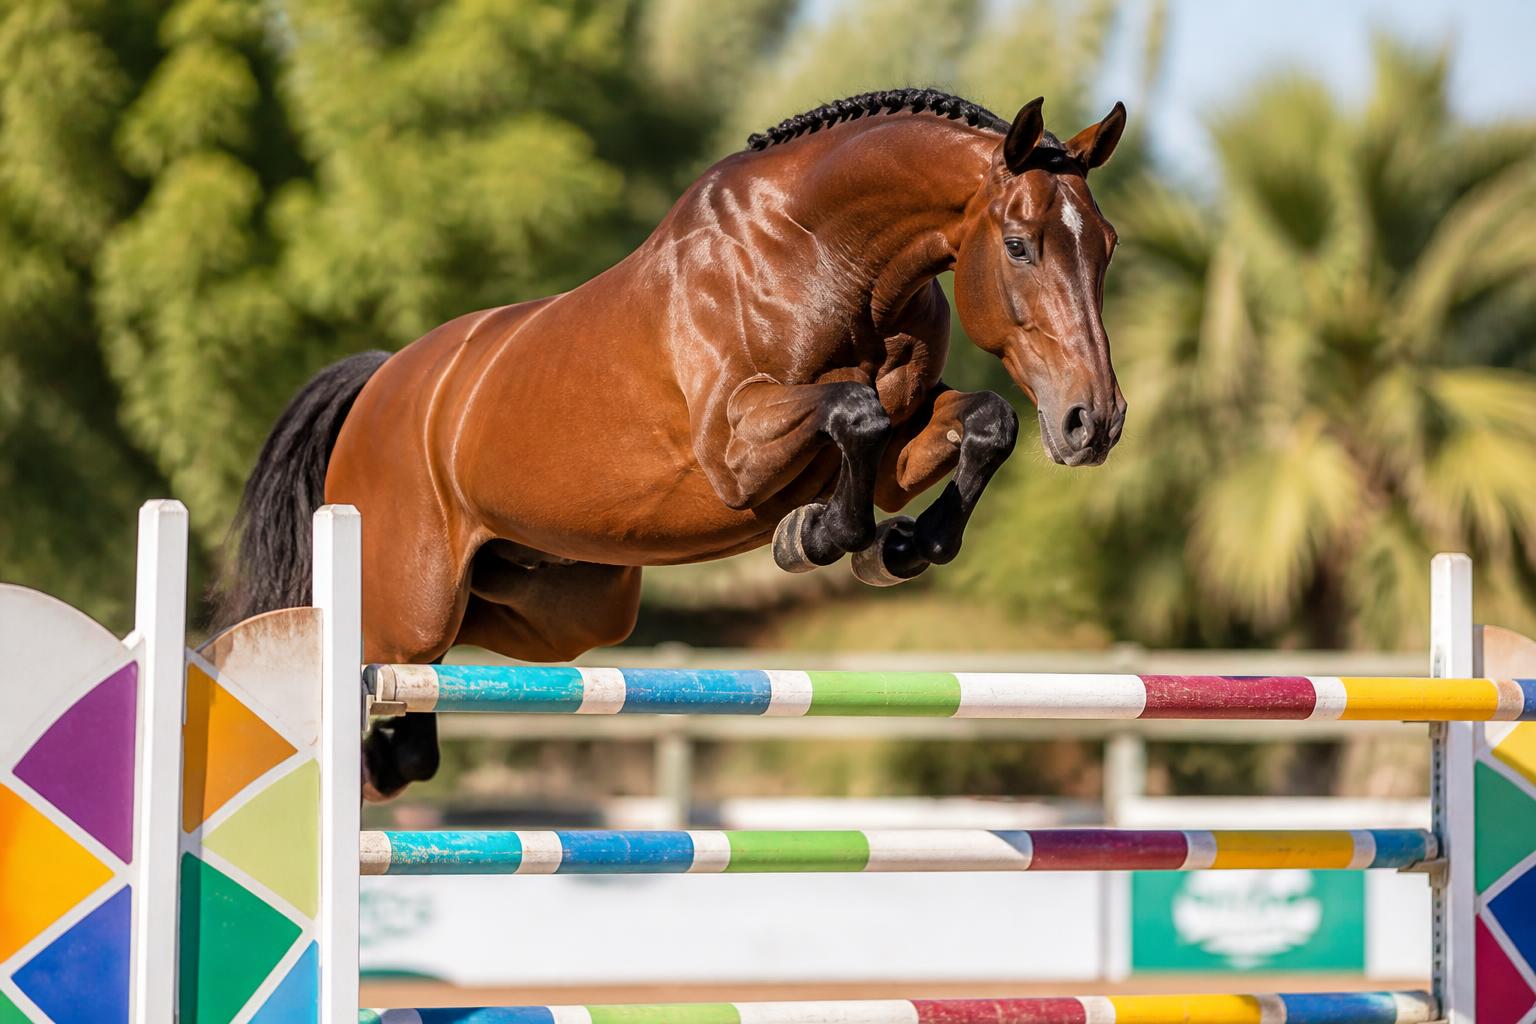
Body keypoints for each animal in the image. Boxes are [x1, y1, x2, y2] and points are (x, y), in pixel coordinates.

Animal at [216, 89, 1128, 800]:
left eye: (1107, 245)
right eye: (1019, 245)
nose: (1095, 422)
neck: (825, 254)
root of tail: (381, 382)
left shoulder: (901, 452)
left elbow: (983, 421)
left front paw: (900, 546)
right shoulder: (735, 448)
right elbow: (854, 411)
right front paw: (819, 536)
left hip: (564, 608)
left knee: (438, 692)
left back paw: (401, 745)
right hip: (407, 608)